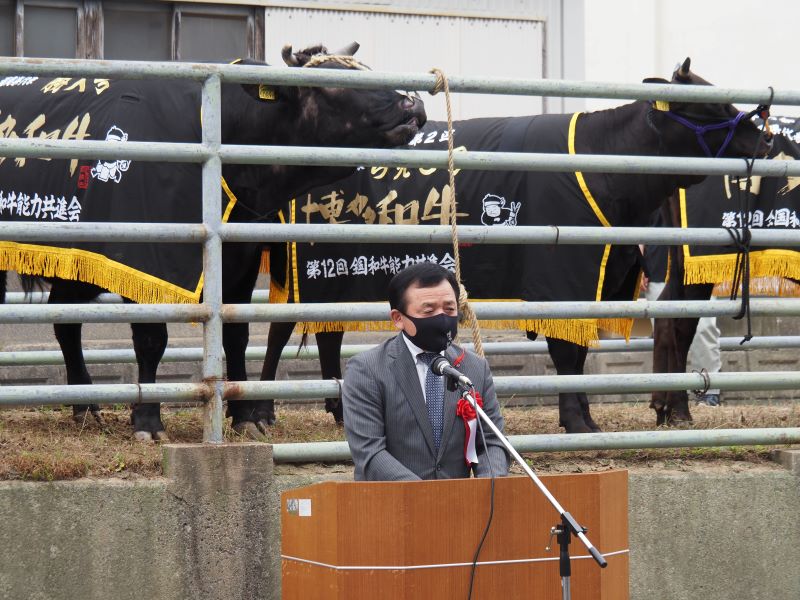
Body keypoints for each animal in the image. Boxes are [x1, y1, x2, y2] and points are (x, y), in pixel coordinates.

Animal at [0, 43, 428, 440]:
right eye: (332, 84)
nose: (414, 104)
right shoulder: (142, 256)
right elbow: (152, 338)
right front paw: (148, 419)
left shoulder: (240, 258)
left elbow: (236, 336)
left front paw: (243, 416)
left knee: (65, 318)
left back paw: (85, 405)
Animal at [255, 57, 768, 432]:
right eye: (710, 108)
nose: (764, 138)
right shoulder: (561, 277)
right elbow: (566, 352)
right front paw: (577, 421)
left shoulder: (599, 280)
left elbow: (579, 352)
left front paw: (583, 417)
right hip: (304, 263)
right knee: (281, 329)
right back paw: (261, 412)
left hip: (334, 274)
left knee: (327, 332)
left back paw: (340, 410)